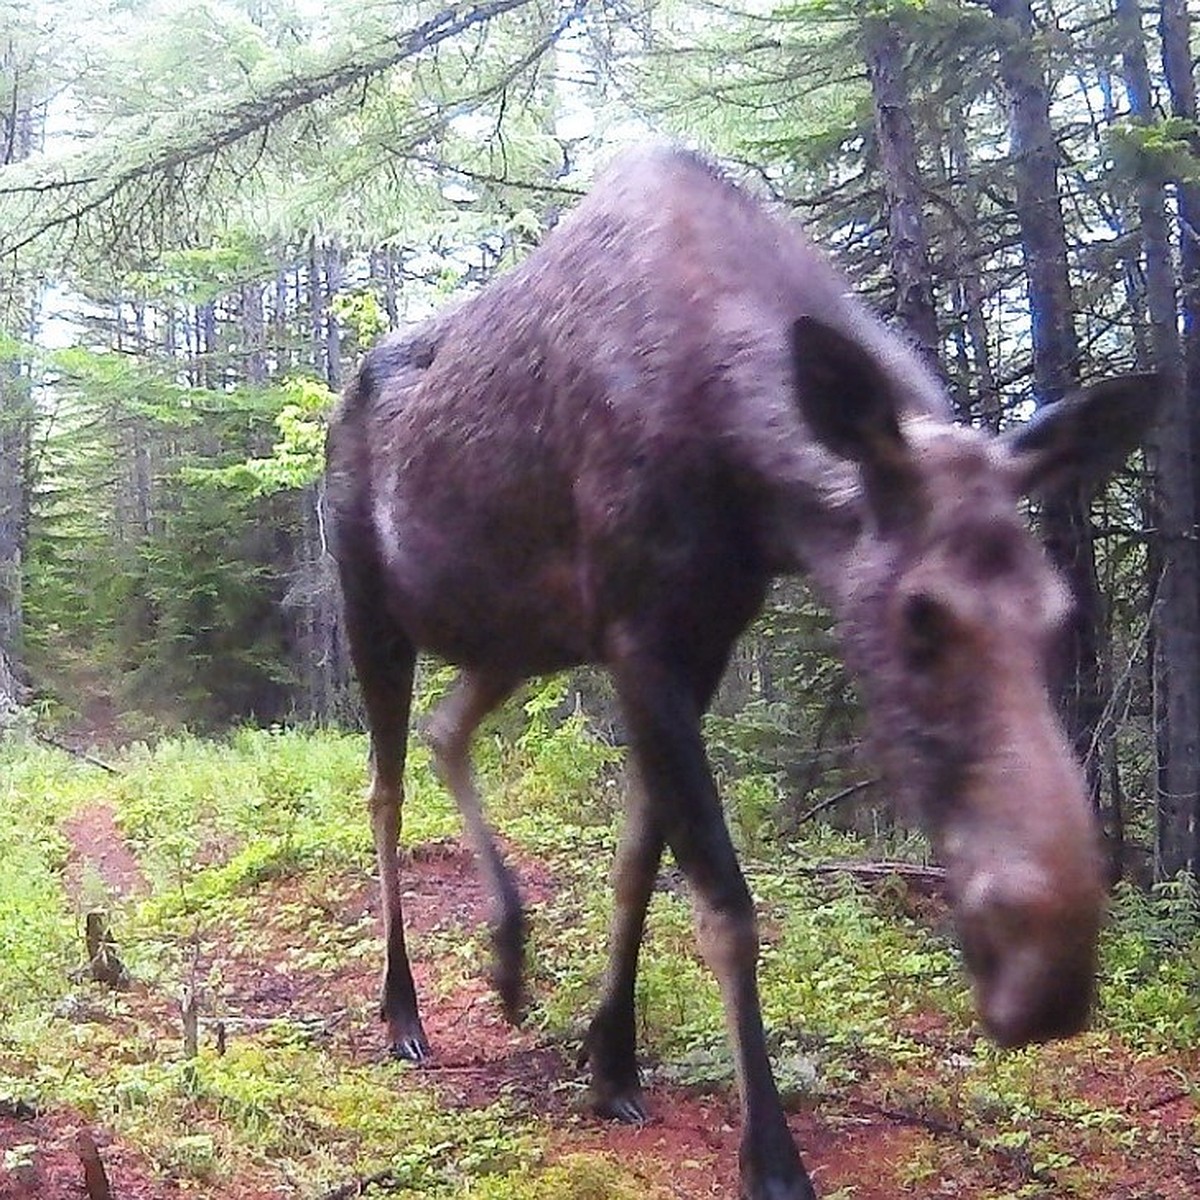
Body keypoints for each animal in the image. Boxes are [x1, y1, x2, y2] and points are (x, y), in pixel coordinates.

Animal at [324, 147, 1156, 1200]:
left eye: (1058, 614)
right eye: (919, 614)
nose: (1044, 975)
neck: (749, 491)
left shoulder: (700, 638)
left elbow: (639, 861)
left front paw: (610, 1060)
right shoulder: (640, 636)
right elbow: (722, 899)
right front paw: (770, 1155)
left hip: (515, 638)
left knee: (448, 729)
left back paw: (509, 951)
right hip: (373, 614)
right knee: (383, 792)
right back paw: (402, 1009)